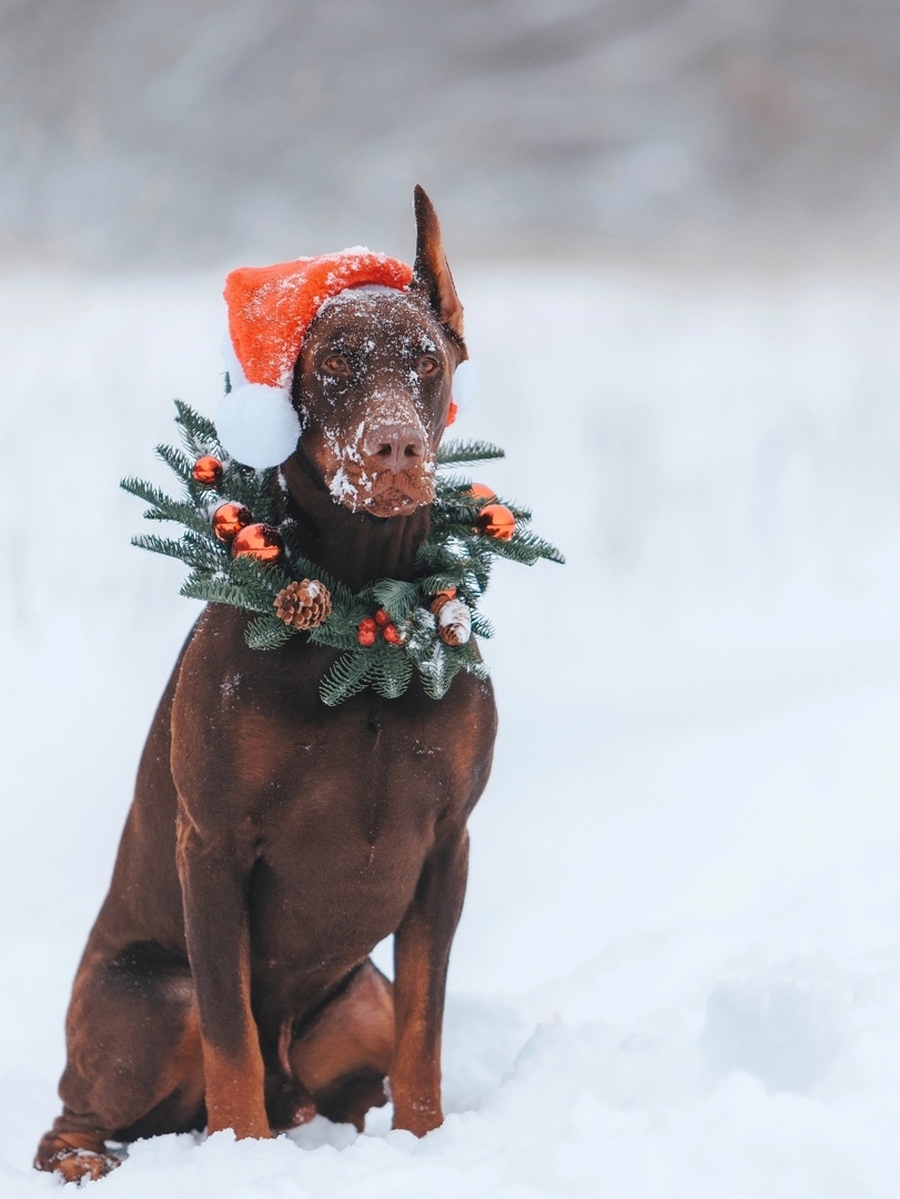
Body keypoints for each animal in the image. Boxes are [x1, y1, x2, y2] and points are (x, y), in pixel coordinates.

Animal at [35, 184, 496, 1179]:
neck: (360, 610)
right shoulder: (212, 844)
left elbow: (426, 1028)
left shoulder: (447, 842)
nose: (393, 449)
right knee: (89, 1103)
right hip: (149, 996)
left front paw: (425, 1145)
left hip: (356, 997)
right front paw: (238, 1159)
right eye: (336, 362)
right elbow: (229, 1034)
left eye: (424, 358)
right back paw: (91, 1155)